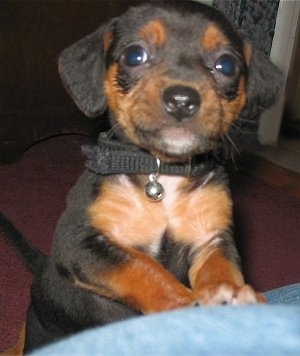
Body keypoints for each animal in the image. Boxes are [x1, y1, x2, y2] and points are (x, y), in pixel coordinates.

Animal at [0, 0, 282, 354]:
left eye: (227, 65)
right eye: (135, 55)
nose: (182, 100)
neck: (161, 171)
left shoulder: (211, 238)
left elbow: (221, 271)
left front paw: (232, 296)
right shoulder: (79, 242)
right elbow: (144, 268)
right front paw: (184, 306)